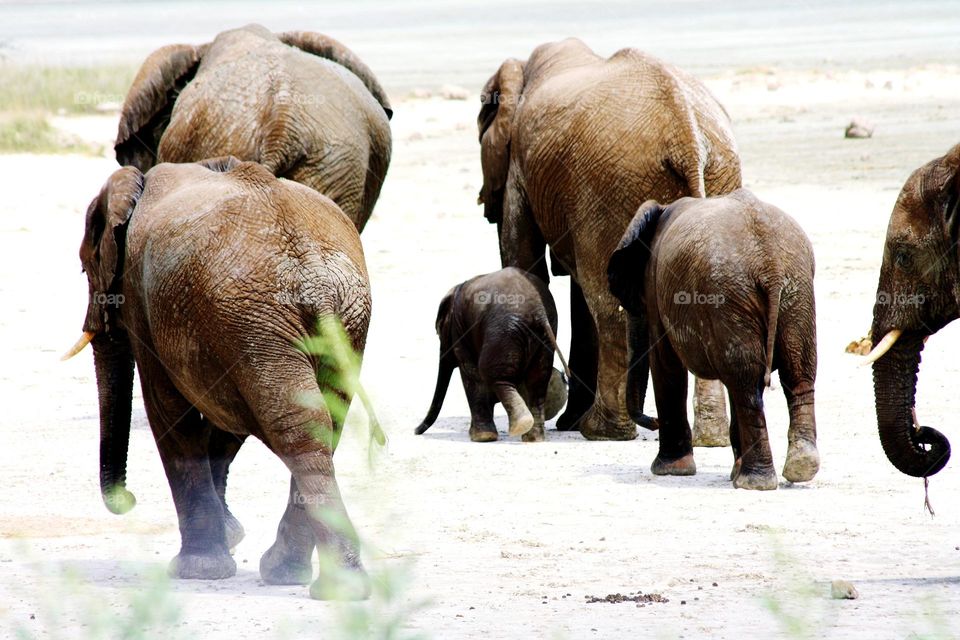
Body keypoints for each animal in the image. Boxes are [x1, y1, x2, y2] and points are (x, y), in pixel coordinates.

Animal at [63, 157, 377, 599]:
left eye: (85, 268)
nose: (128, 499)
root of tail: (312, 277)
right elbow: (222, 424)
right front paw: (229, 536)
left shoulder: (145, 302)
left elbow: (169, 411)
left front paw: (199, 569)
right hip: (326, 322)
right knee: (321, 423)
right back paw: (309, 578)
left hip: (261, 322)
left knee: (294, 425)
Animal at [415, 267, 569, 442]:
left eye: (439, 332)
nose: (415, 431)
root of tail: (539, 311)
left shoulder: (459, 329)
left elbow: (471, 373)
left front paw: (482, 437)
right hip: (544, 335)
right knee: (538, 380)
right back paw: (533, 438)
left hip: (503, 333)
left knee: (492, 374)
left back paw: (520, 426)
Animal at [477, 38, 742, 442]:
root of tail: (687, 135)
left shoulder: (520, 172)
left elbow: (524, 263)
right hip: (710, 178)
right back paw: (709, 438)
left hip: (610, 183)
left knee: (605, 303)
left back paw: (602, 430)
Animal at [607, 189, 820, 490]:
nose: (653, 422)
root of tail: (771, 264)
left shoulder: (655, 286)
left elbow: (665, 363)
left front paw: (670, 470)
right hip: (794, 291)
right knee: (795, 372)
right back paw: (799, 467)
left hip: (731, 293)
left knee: (745, 380)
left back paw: (752, 483)